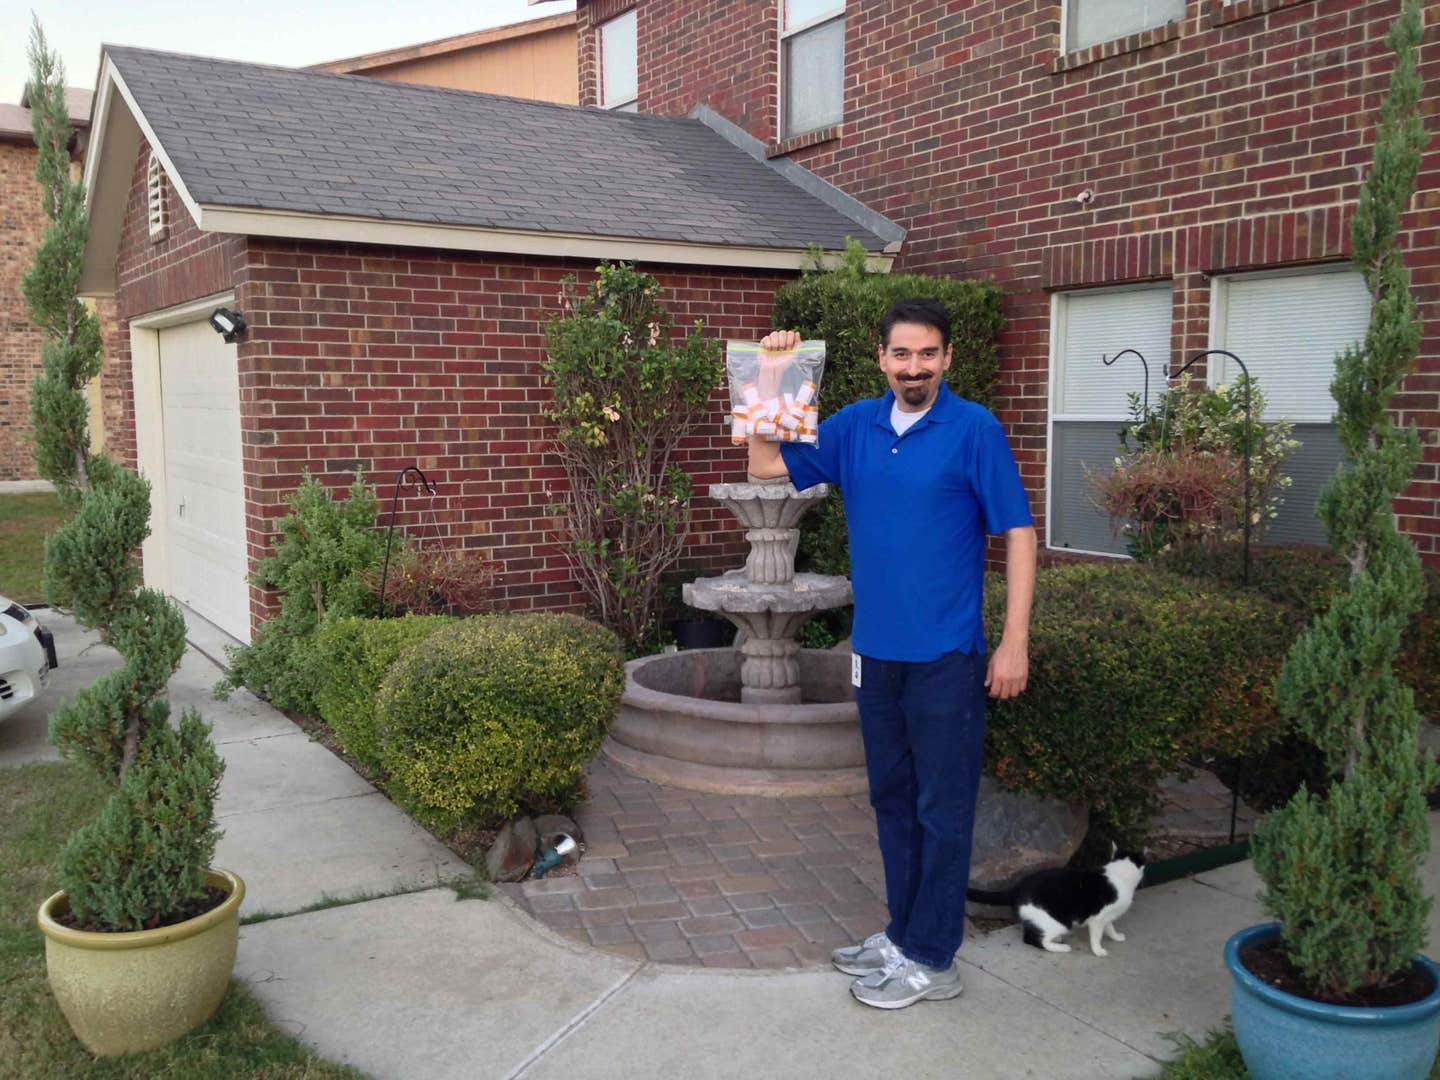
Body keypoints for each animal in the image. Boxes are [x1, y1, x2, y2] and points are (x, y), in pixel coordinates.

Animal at [967, 852, 1146, 961]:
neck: (1119, 876)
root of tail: (1018, 887)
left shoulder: (1106, 917)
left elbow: (1110, 927)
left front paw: (1116, 937)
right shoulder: (1097, 918)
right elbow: (1096, 936)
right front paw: (1098, 950)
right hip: (1059, 922)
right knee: (1033, 939)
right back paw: (1061, 947)